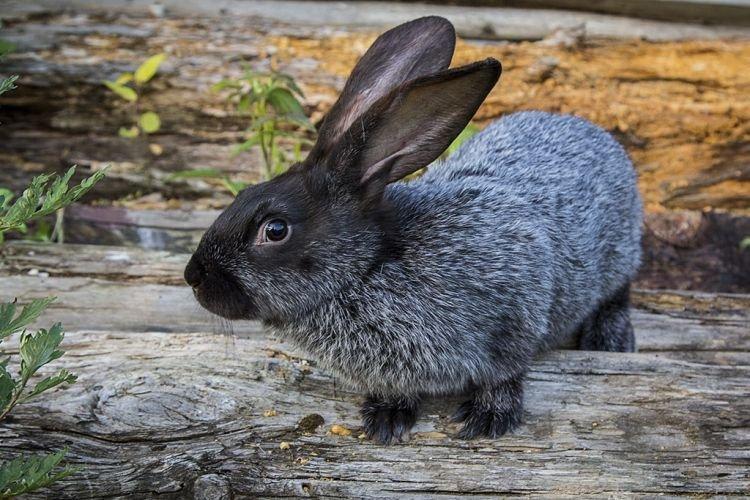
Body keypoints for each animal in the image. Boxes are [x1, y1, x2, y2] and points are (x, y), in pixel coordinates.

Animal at [184, 16, 642, 444]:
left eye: (275, 229)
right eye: (243, 192)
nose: (193, 276)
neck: (371, 268)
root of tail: (593, 133)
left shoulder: (515, 312)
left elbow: (505, 372)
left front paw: (490, 417)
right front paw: (387, 417)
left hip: (618, 255)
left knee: (618, 292)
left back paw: (610, 339)